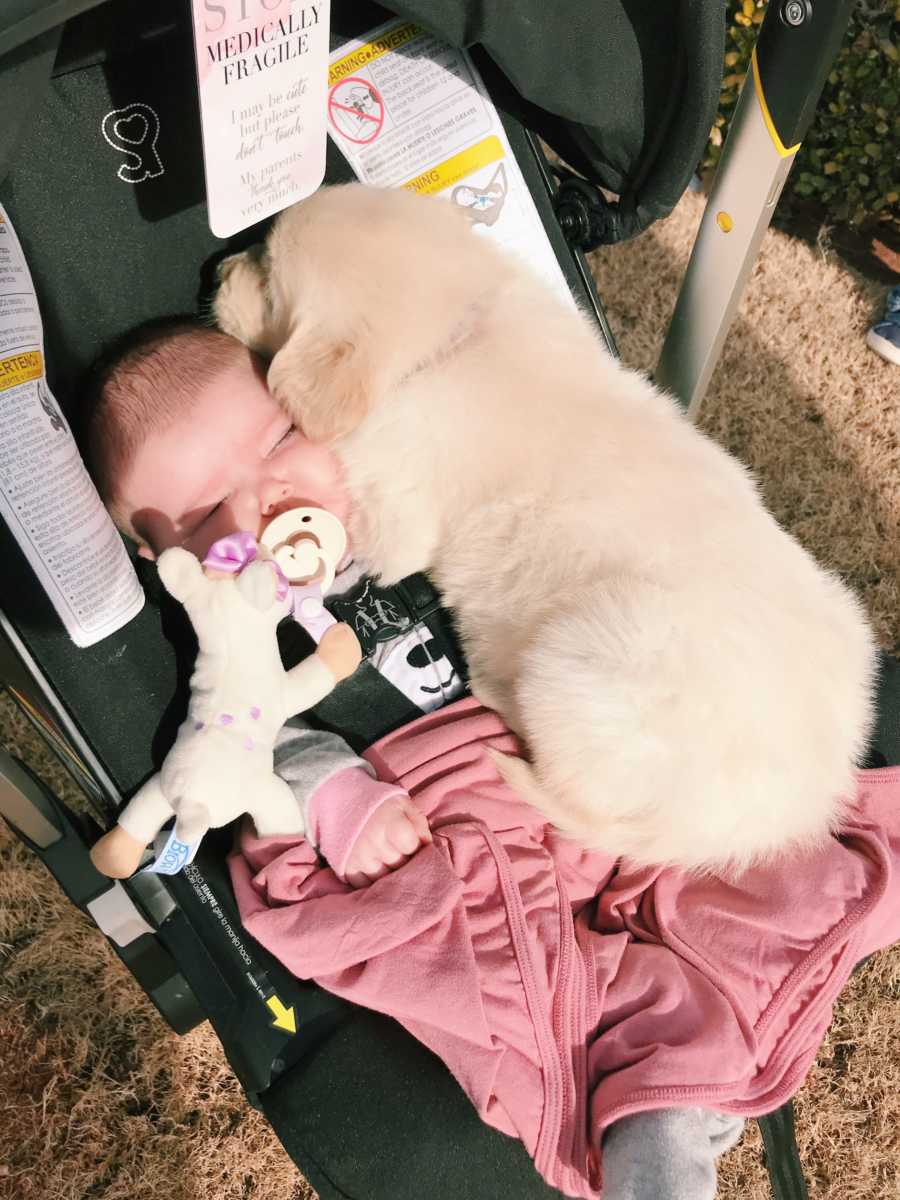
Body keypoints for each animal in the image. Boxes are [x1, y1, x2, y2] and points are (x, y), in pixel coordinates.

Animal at [214, 182, 878, 873]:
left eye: (267, 278)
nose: (216, 271)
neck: (452, 334)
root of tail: (761, 824)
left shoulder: (395, 512)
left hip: (569, 655)